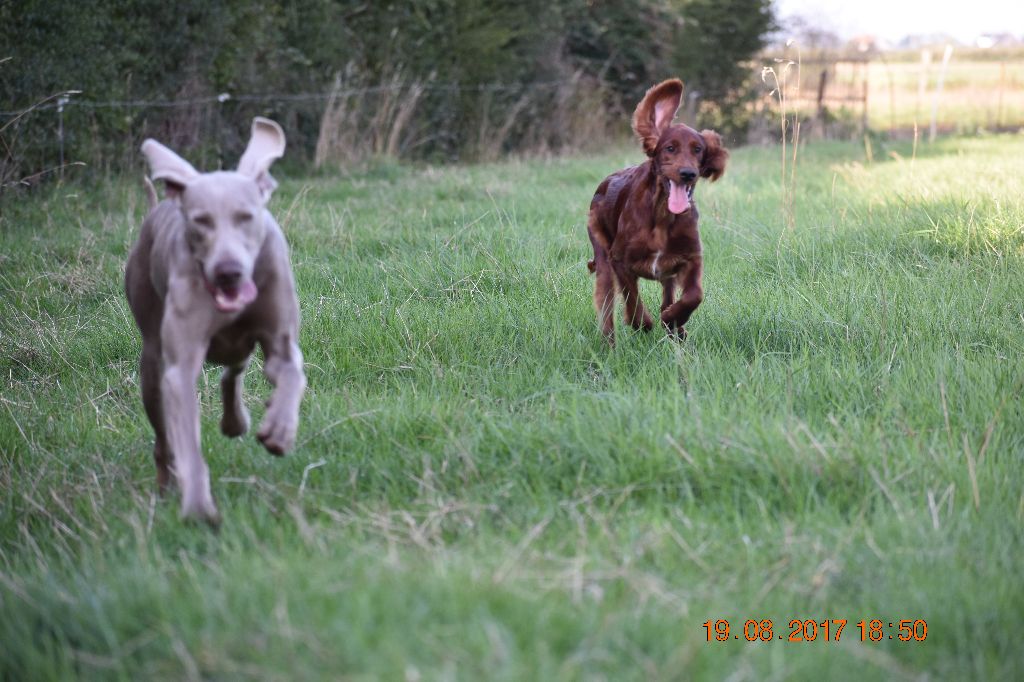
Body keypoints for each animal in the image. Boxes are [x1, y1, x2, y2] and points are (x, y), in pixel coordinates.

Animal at [124, 116, 303, 522]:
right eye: (201, 222)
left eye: (246, 217)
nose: (228, 272)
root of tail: (156, 209)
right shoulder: (178, 370)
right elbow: (186, 436)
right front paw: (197, 505)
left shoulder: (282, 342)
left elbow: (292, 373)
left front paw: (279, 430)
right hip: (151, 361)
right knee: (163, 438)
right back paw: (166, 487)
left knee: (233, 368)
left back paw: (236, 422)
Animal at [585, 79, 729, 342]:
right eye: (670, 148)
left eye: (698, 149)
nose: (688, 173)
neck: (663, 215)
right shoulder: (619, 260)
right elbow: (631, 297)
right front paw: (643, 323)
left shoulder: (690, 257)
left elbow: (694, 295)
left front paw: (673, 318)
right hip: (601, 254)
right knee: (606, 303)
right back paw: (609, 343)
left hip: (667, 275)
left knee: (668, 294)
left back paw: (674, 328)